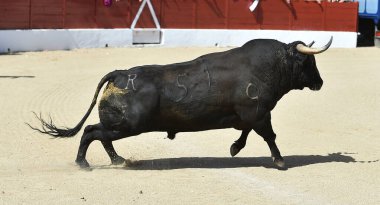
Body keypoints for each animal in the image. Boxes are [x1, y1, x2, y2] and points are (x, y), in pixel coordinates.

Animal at [29, 37, 332, 169]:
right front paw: (280, 162)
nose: (320, 82)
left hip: (121, 125)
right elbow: (270, 136)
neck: (271, 66)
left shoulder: (249, 115)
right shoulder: (258, 113)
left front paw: (234, 148)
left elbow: (246, 133)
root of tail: (120, 73)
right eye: (309, 62)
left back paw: (118, 160)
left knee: (100, 136)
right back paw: (84, 163)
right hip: (128, 125)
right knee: (92, 132)